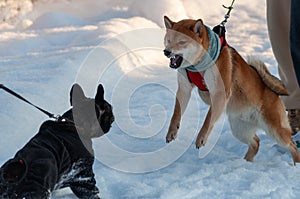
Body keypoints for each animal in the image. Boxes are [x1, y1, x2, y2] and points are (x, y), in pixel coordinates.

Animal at [164, 15, 300, 164]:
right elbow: (176, 112)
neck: (197, 64)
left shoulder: (219, 93)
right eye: (168, 40)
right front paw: (172, 131)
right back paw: (246, 162)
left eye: (182, 42)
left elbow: (208, 119)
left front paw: (201, 137)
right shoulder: (184, 88)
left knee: (292, 145)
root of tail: (274, 93)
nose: (166, 52)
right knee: (256, 142)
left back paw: (295, 164)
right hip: (239, 128)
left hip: (274, 129)